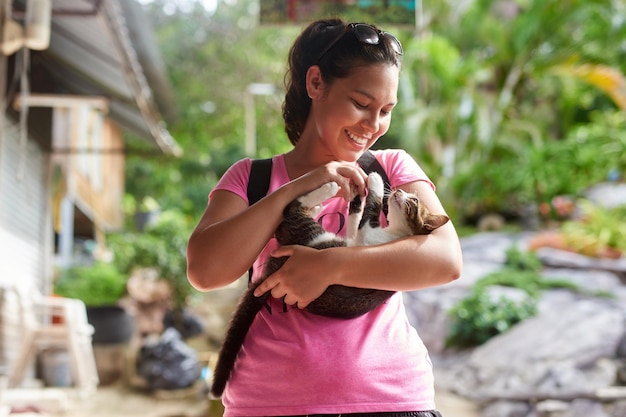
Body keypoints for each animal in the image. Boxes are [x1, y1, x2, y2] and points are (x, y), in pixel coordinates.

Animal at [211, 172, 448, 396]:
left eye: (414, 200)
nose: (398, 191)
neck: (398, 235)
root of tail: (273, 270)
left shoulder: (367, 237)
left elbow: (371, 209)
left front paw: (375, 181)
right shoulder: (355, 239)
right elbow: (354, 221)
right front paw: (357, 195)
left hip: (313, 238)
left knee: (291, 212)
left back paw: (327, 189)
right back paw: (320, 201)